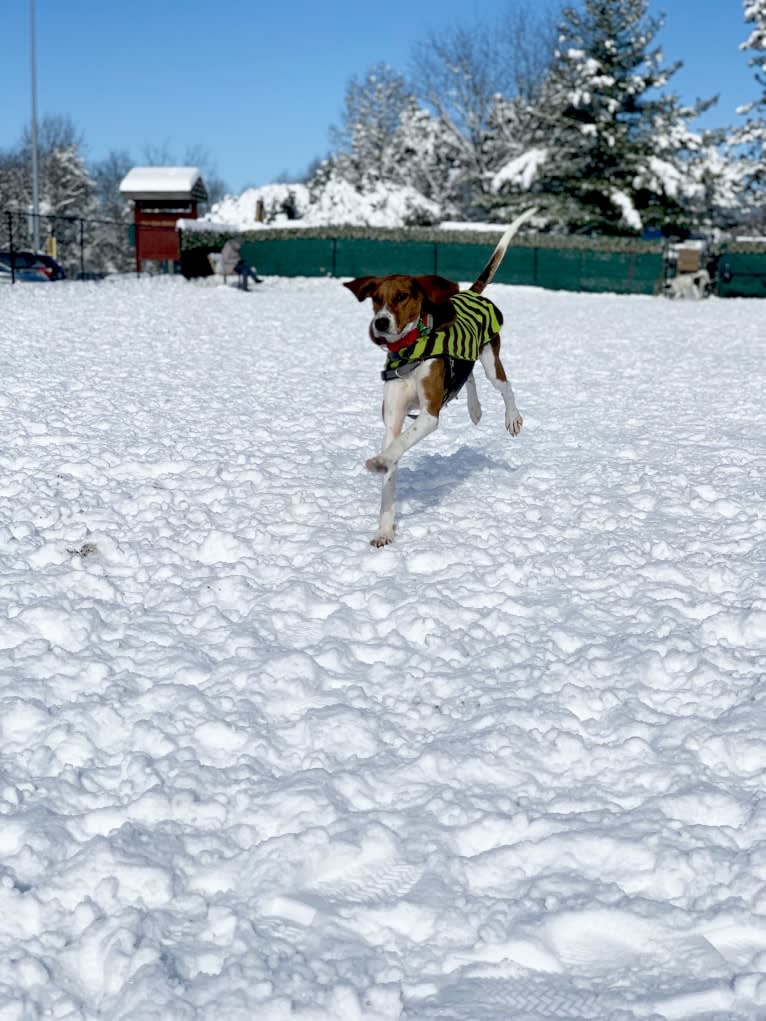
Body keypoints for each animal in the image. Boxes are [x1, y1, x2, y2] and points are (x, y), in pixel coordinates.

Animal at [345, 203, 535, 547]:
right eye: (376, 299)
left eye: (402, 296)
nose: (380, 323)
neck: (410, 351)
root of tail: (471, 293)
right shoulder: (393, 419)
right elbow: (392, 462)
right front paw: (384, 530)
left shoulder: (429, 414)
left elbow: (396, 447)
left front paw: (377, 461)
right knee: (467, 376)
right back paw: (474, 409)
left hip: (491, 359)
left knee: (504, 385)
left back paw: (512, 417)